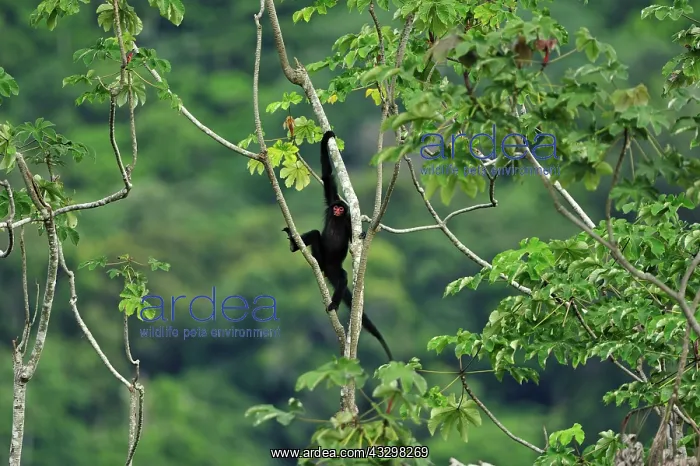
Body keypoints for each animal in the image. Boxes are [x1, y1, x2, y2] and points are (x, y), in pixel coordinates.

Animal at [282, 131, 393, 361]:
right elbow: (327, 177)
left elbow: (352, 236)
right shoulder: (331, 198)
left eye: (342, 209)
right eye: (336, 208)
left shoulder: (349, 218)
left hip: (334, 269)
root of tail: (325, 268)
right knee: (315, 235)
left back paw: (334, 303)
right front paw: (327, 138)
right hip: (320, 256)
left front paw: (362, 234)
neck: (340, 217)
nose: (338, 211)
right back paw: (295, 246)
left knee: (342, 278)